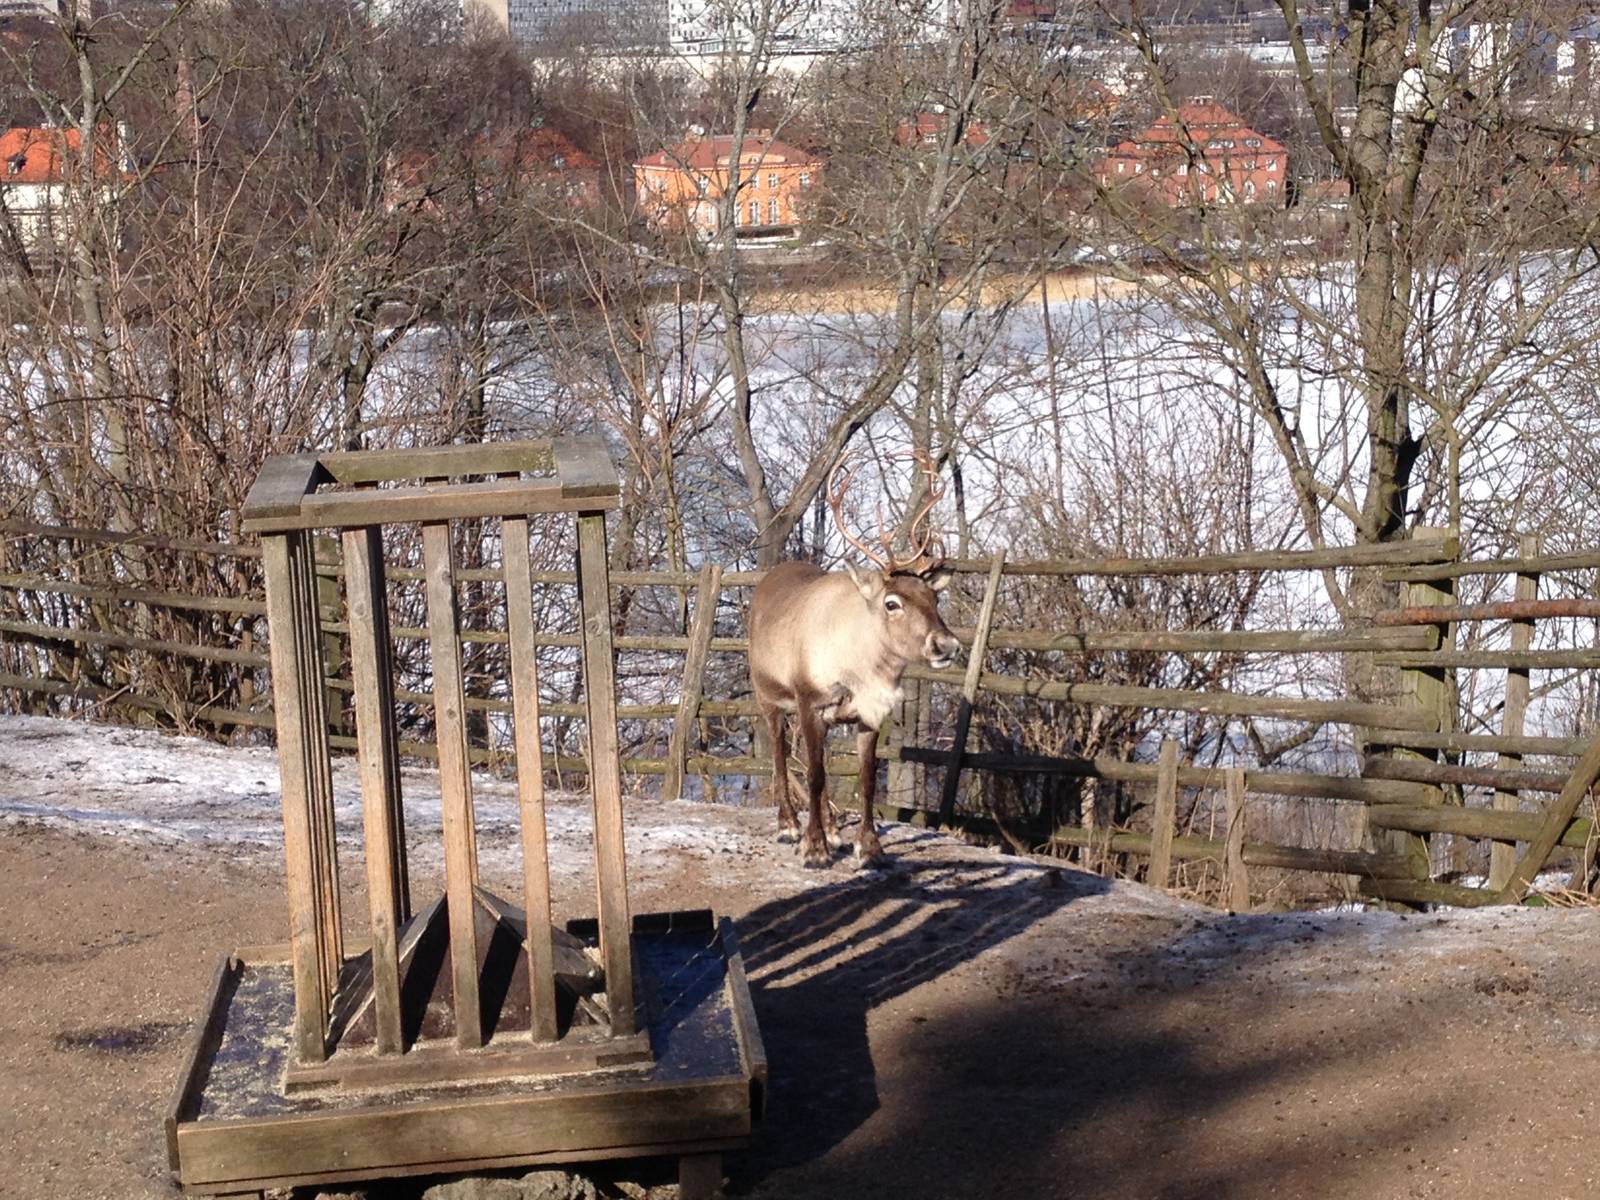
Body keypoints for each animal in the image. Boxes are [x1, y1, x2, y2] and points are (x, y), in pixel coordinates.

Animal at [748, 452, 961, 868]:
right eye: (892, 603)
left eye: (934, 597)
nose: (946, 643)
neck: (861, 672)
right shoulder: (809, 701)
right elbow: (813, 775)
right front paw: (814, 848)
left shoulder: (867, 713)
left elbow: (865, 778)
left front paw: (870, 847)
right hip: (768, 696)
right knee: (780, 755)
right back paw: (789, 825)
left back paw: (833, 829)